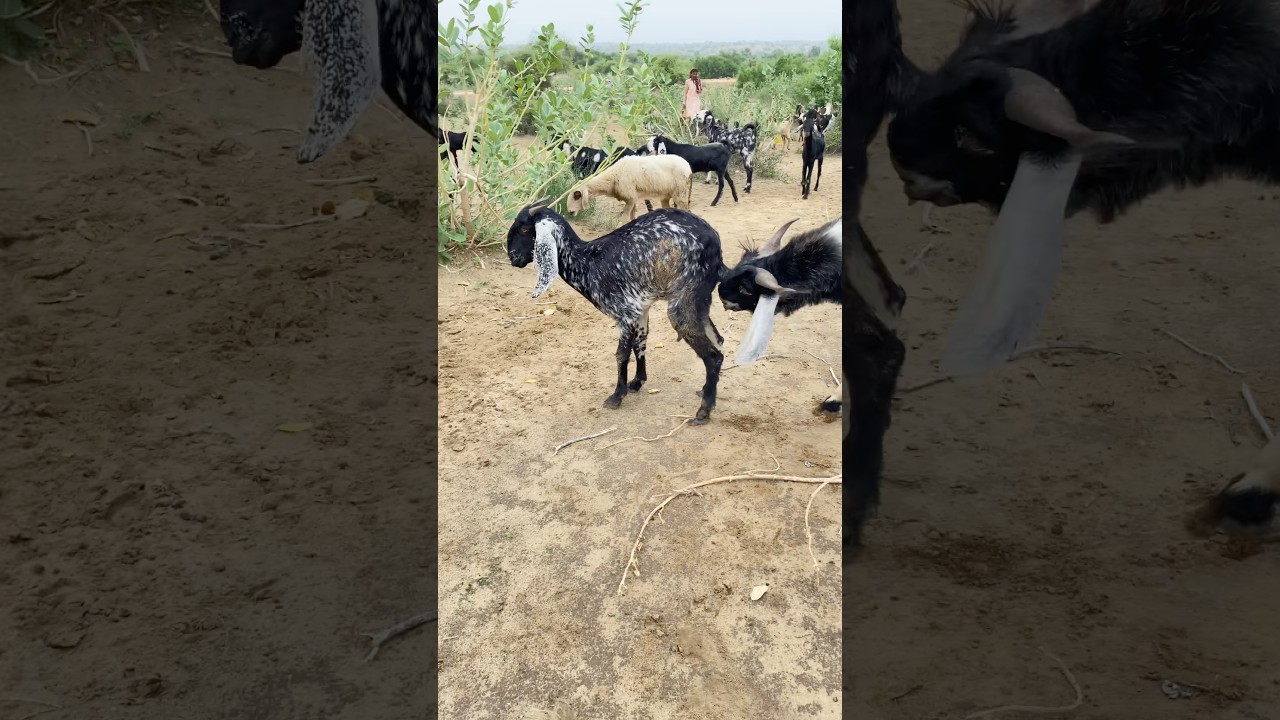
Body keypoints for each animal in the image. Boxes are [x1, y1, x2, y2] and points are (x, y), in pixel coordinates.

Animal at [506, 203, 725, 424]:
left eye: (524, 229)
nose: (513, 257)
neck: (587, 262)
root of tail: (714, 244)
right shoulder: (640, 309)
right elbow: (640, 344)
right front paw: (637, 382)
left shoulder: (624, 313)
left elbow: (621, 354)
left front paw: (617, 396)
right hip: (699, 302)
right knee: (718, 339)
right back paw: (705, 391)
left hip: (683, 300)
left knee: (713, 356)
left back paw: (703, 411)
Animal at [565, 154, 693, 225]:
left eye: (577, 195)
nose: (570, 212)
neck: (612, 177)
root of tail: (688, 168)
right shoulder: (633, 198)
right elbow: (632, 217)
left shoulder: (630, 198)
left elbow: (624, 217)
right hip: (666, 195)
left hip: (680, 192)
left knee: (686, 210)